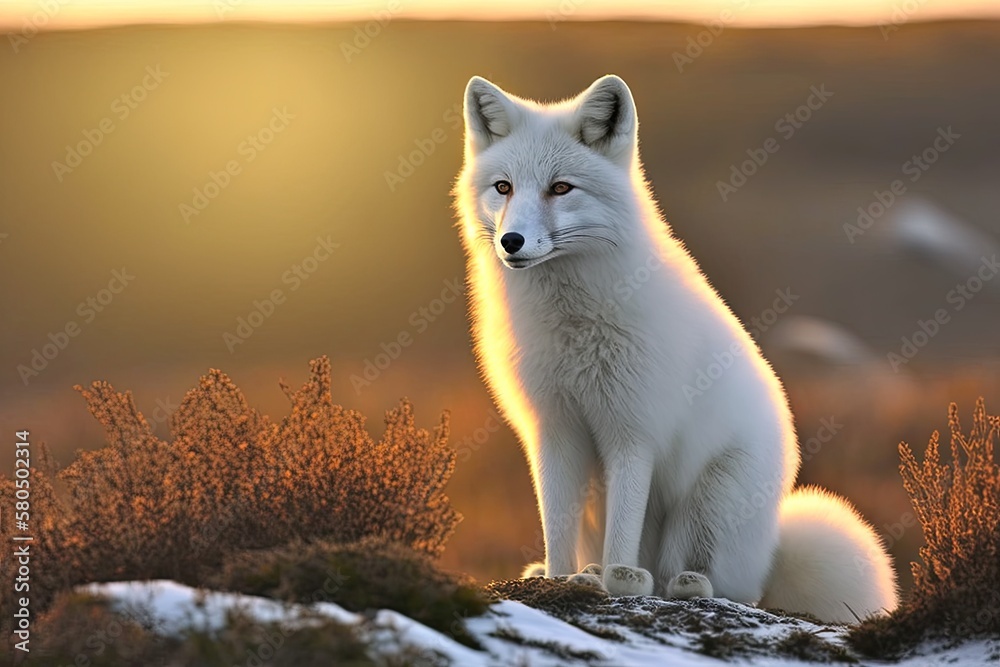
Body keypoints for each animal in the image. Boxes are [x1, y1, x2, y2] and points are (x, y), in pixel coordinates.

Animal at [454, 75, 900, 624]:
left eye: (561, 188)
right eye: (504, 187)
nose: (512, 242)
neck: (571, 328)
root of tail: (771, 546)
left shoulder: (633, 430)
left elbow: (625, 527)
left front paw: (615, 579)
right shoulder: (553, 428)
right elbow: (554, 522)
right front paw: (559, 578)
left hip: (711, 503)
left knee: (713, 584)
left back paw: (672, 581)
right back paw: (576, 571)